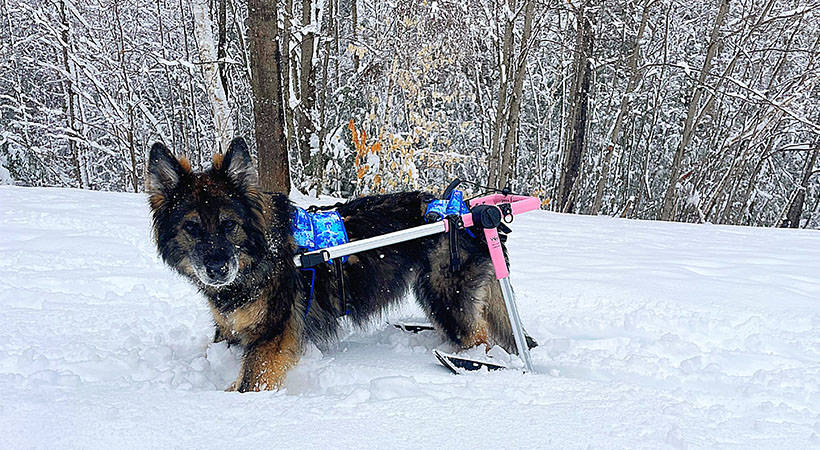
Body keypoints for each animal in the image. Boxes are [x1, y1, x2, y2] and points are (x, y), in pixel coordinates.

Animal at [147, 136, 532, 390]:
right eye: (191, 228)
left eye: (229, 224)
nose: (216, 269)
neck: (262, 253)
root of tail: (469, 210)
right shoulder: (228, 330)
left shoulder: (273, 335)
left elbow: (249, 383)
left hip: (447, 297)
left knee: (481, 339)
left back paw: (478, 365)